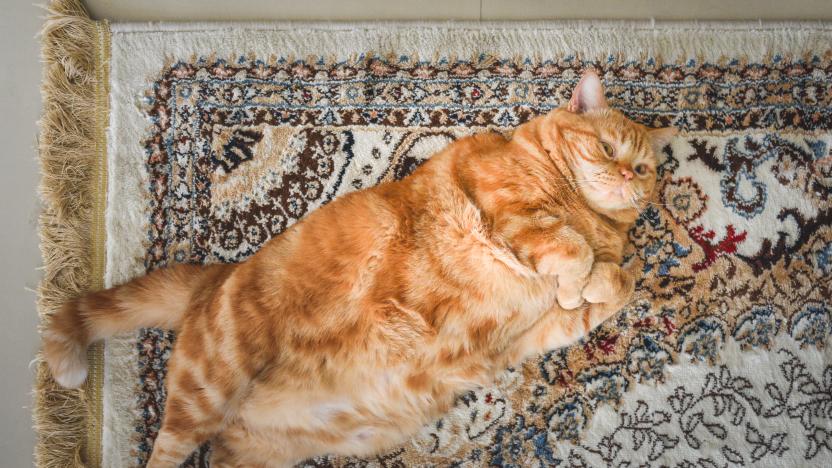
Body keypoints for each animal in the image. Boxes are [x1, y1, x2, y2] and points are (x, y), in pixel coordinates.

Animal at [40, 71, 676, 466]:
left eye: (643, 168)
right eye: (608, 150)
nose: (627, 176)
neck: (589, 214)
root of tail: (212, 279)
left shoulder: (530, 337)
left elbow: (620, 280)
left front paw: (592, 285)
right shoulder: (508, 212)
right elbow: (574, 252)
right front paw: (578, 278)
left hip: (248, 447)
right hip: (208, 387)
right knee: (167, 449)